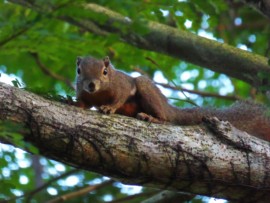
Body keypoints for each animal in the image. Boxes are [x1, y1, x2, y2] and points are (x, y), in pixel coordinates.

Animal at [75, 55, 270, 141]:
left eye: (105, 72)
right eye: (78, 71)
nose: (91, 85)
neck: (98, 93)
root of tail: (168, 108)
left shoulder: (122, 86)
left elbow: (119, 98)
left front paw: (109, 107)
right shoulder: (83, 92)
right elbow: (84, 103)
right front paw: (73, 102)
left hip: (148, 92)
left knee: (166, 120)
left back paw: (152, 117)